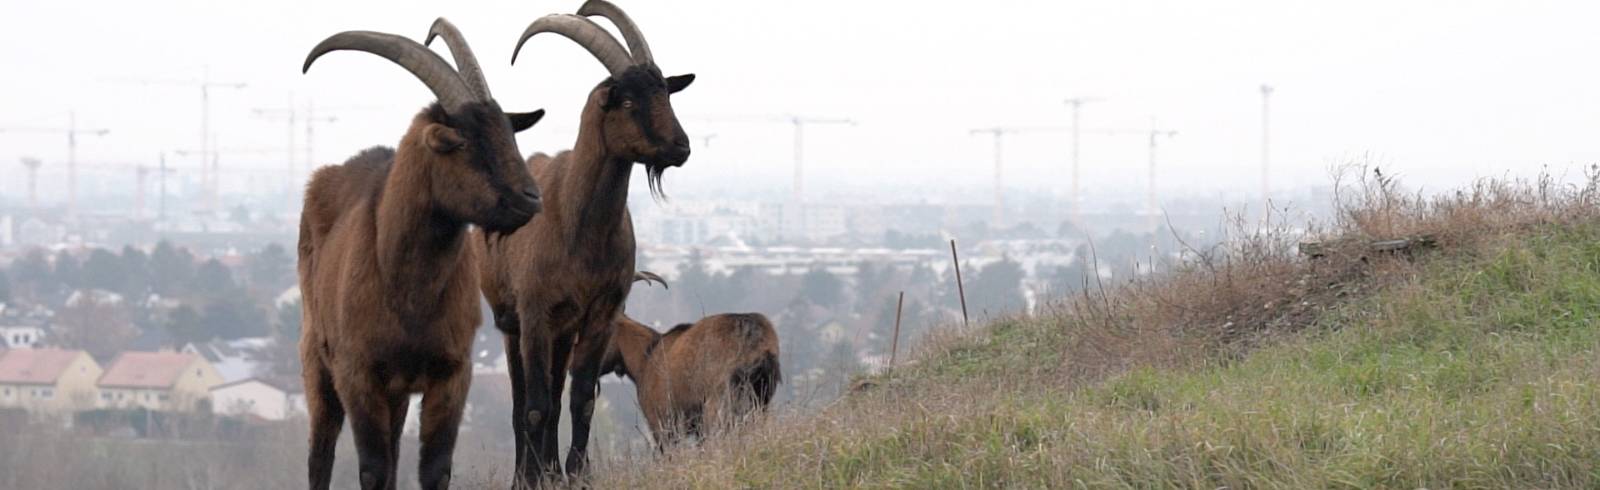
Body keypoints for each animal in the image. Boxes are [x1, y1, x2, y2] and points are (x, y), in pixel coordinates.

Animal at [299, 19, 544, 490]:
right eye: (461, 143)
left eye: (507, 132)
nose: (530, 198)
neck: (406, 287)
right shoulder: (358, 373)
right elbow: (373, 469)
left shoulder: (451, 372)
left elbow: (433, 468)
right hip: (318, 362)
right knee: (321, 450)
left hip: (396, 393)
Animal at [476, 0, 697, 483]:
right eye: (627, 100)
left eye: (666, 92)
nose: (680, 146)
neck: (579, 228)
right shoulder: (535, 314)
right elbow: (534, 406)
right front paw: (532, 478)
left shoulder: (600, 314)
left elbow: (581, 399)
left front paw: (577, 473)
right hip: (512, 324)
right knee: (523, 401)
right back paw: (528, 471)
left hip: (563, 330)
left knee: (557, 393)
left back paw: (553, 468)